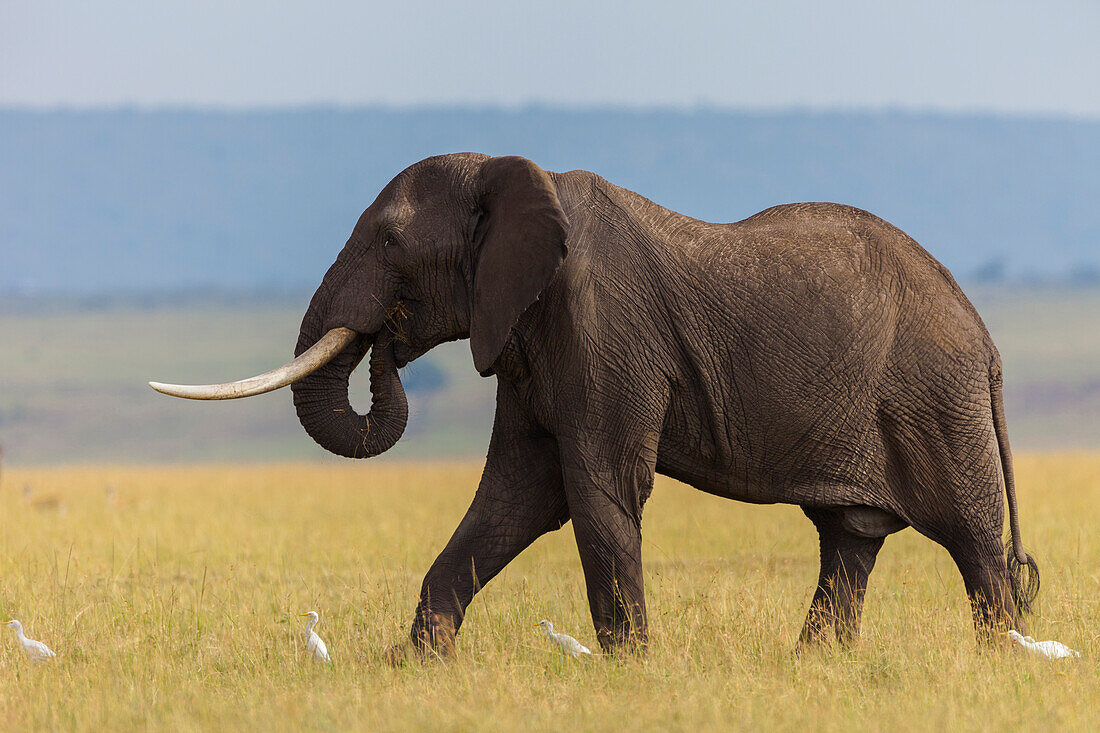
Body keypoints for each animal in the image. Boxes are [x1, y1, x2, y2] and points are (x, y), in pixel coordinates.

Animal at [150, 152, 1034, 655]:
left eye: (392, 241)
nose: (388, 344)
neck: (513, 177)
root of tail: (987, 341)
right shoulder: (528, 337)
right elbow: (518, 496)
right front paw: (417, 666)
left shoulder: (601, 331)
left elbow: (596, 487)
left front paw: (629, 670)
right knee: (850, 542)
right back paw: (814, 666)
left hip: (935, 401)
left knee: (974, 546)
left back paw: (1002, 664)